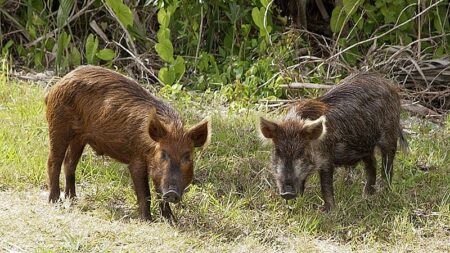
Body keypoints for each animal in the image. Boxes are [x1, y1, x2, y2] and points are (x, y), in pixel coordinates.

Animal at [44, 65, 210, 221]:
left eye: (187, 157)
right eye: (163, 154)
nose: (172, 192)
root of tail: (57, 85)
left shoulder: (157, 171)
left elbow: (158, 192)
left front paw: (172, 221)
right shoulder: (136, 160)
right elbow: (145, 193)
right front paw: (147, 220)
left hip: (79, 138)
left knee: (69, 163)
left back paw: (73, 199)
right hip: (58, 125)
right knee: (54, 161)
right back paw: (55, 201)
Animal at [258, 72, 406, 211]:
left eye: (301, 152)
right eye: (278, 152)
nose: (287, 193)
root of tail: (390, 84)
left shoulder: (326, 159)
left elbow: (326, 184)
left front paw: (326, 210)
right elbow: (303, 183)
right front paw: (293, 206)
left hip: (389, 134)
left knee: (387, 165)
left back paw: (384, 192)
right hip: (365, 145)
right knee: (372, 163)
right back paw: (367, 194)